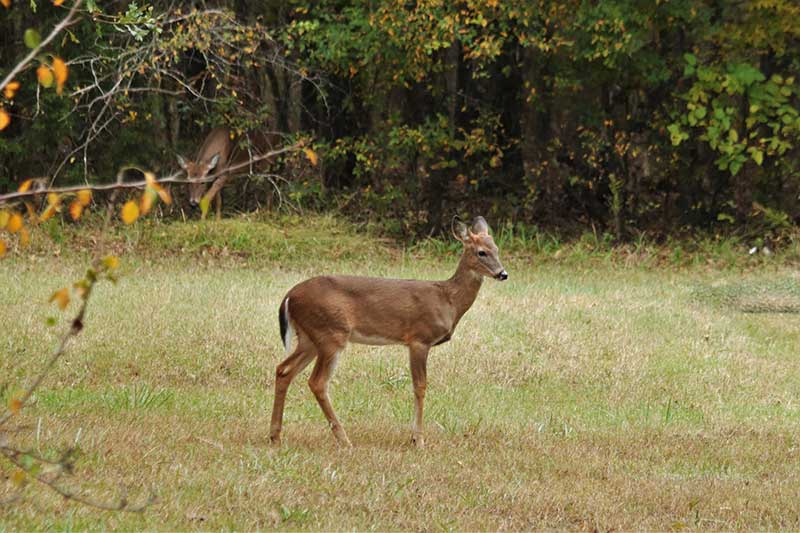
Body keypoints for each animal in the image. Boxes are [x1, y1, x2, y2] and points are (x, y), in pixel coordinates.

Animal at [268, 215, 506, 444]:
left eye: (496, 249)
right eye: (481, 252)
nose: (503, 274)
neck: (448, 300)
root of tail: (289, 296)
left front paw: (415, 437)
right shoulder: (419, 339)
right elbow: (420, 386)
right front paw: (417, 439)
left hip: (309, 337)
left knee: (283, 370)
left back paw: (275, 436)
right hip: (330, 334)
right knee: (317, 382)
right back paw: (344, 439)